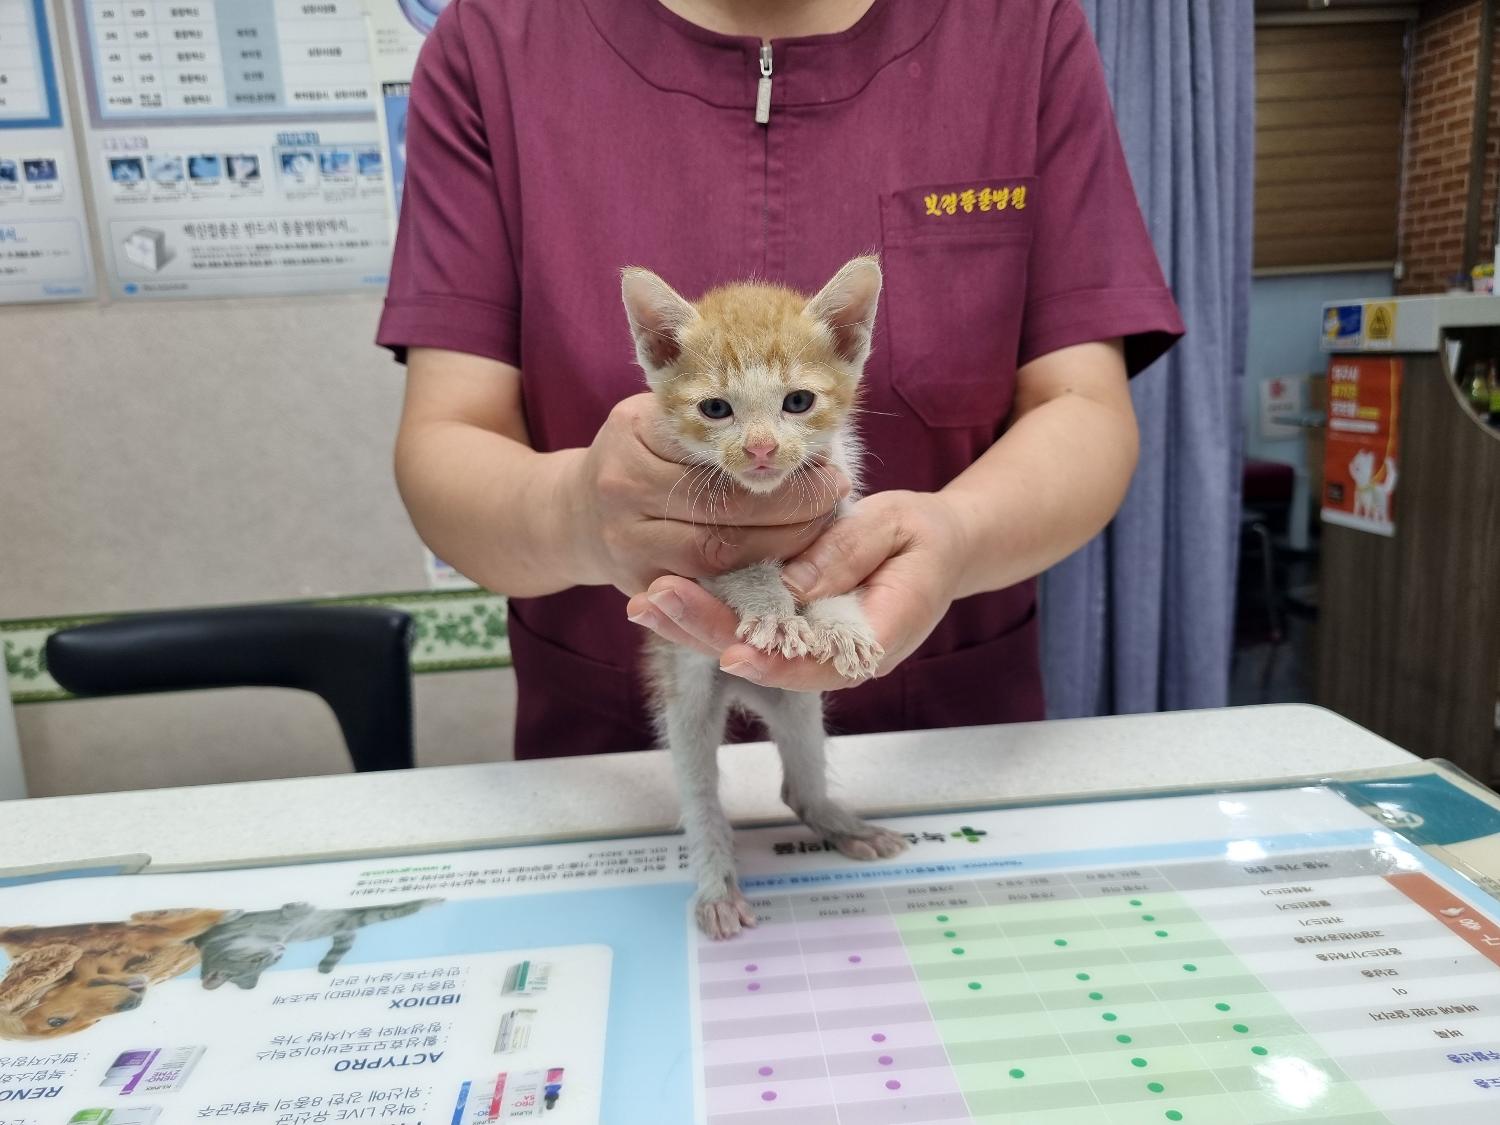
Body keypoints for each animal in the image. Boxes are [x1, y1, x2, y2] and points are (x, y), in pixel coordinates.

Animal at [618, 255, 906, 942]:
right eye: (715, 408)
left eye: (798, 401)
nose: (761, 449)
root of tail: (741, 689)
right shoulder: (679, 556)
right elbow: (737, 572)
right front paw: (771, 605)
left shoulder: (840, 515)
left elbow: (833, 575)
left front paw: (841, 624)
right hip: (685, 702)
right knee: (699, 793)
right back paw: (717, 884)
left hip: (797, 703)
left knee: (797, 783)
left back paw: (839, 823)